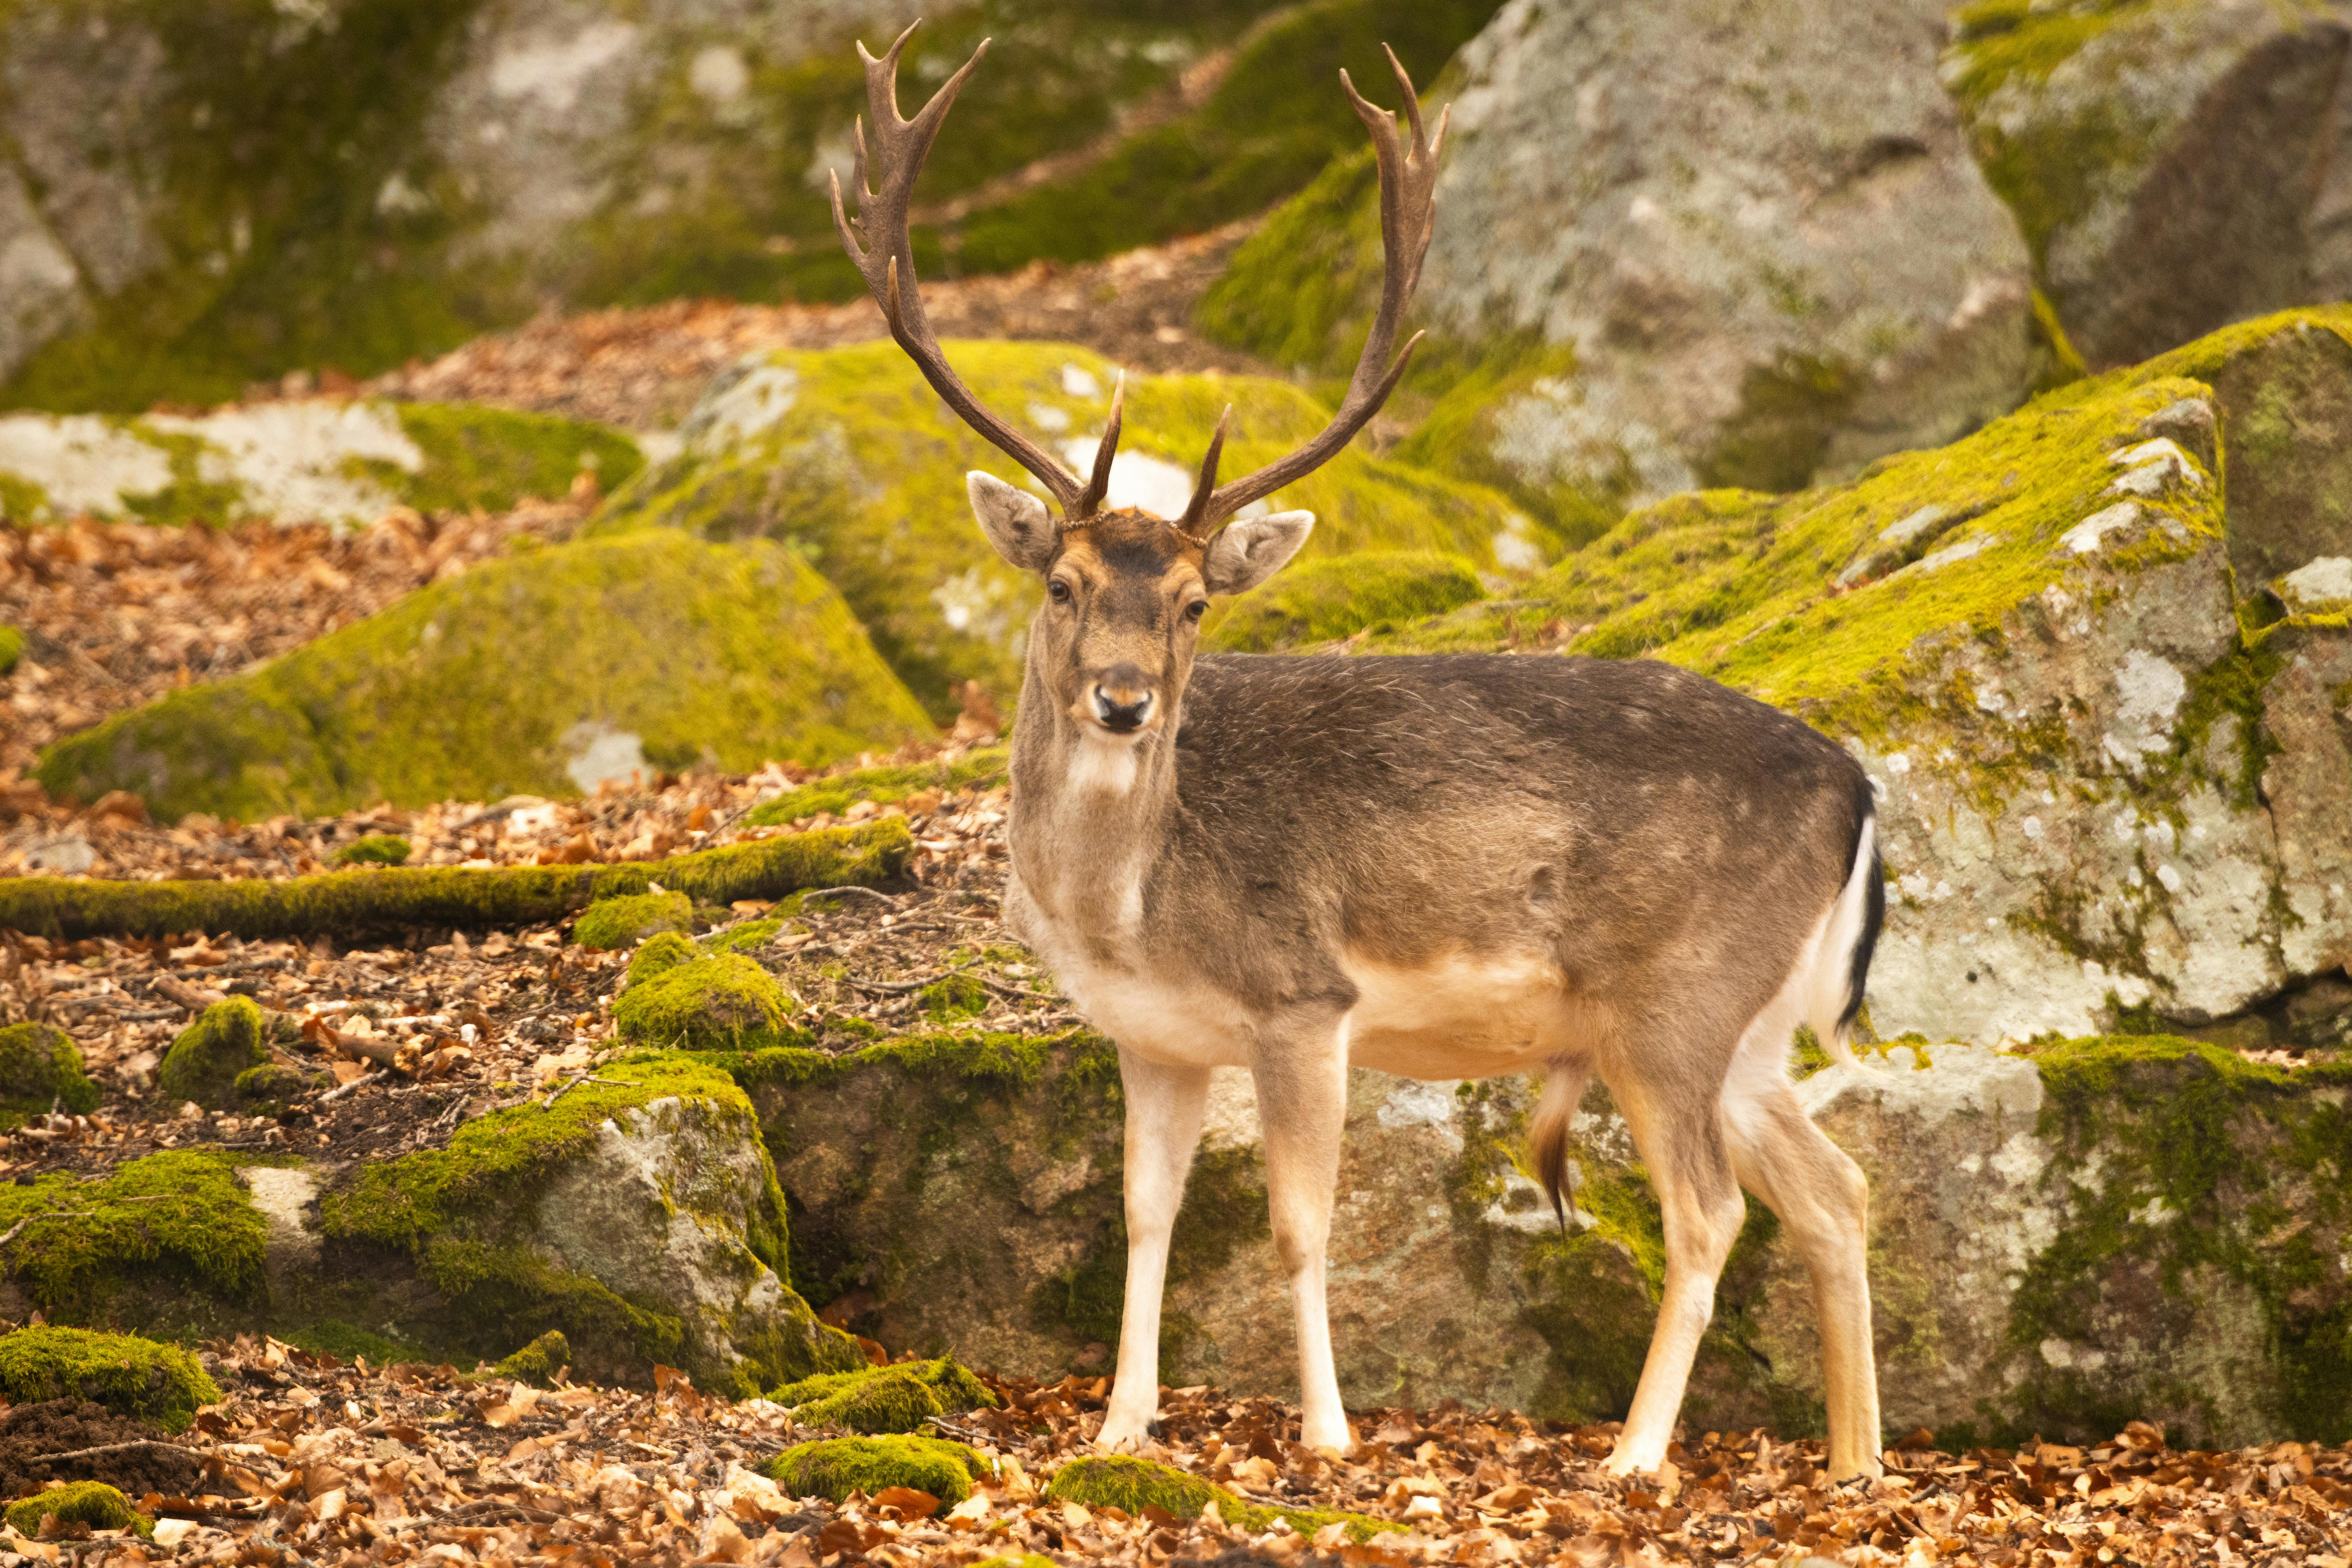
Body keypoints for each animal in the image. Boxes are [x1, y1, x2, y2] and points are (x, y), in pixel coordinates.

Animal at [829, 22, 1891, 1482]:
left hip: (1672, 1001)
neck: (1131, 910)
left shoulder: (1304, 998)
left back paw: (1633, 1455)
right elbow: (1146, 1214)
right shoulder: (1155, 1038)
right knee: (1837, 1187)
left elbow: (1297, 1224)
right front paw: (1119, 1423)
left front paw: (1327, 1434)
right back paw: (1856, 1462)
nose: (1122, 700)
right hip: (1753, 1026)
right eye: (1063, 583)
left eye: (1195, 604)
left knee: (1711, 1212)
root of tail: (1859, 786)